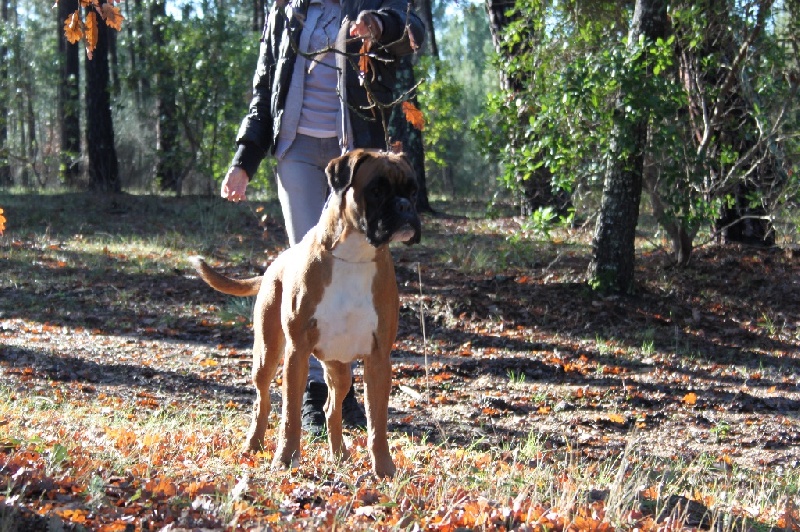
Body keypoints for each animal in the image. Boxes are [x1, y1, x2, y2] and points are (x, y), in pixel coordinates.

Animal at [191, 150, 422, 478]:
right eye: (377, 189)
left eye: (413, 191)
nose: (405, 206)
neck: (354, 254)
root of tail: (273, 265)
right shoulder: (297, 352)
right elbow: (290, 414)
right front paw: (285, 459)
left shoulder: (379, 359)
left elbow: (377, 421)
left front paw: (384, 469)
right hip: (268, 354)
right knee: (262, 400)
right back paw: (253, 446)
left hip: (339, 369)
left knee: (332, 409)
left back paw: (339, 455)